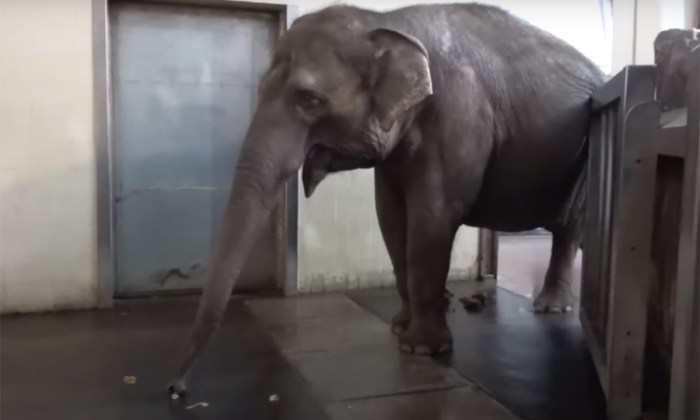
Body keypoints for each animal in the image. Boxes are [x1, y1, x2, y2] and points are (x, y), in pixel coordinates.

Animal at [168, 3, 605, 398]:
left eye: (308, 99)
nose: (177, 389)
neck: (385, 21)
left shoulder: (458, 118)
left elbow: (432, 218)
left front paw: (422, 349)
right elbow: (392, 219)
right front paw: (399, 327)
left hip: (584, 159)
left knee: (570, 229)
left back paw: (550, 309)